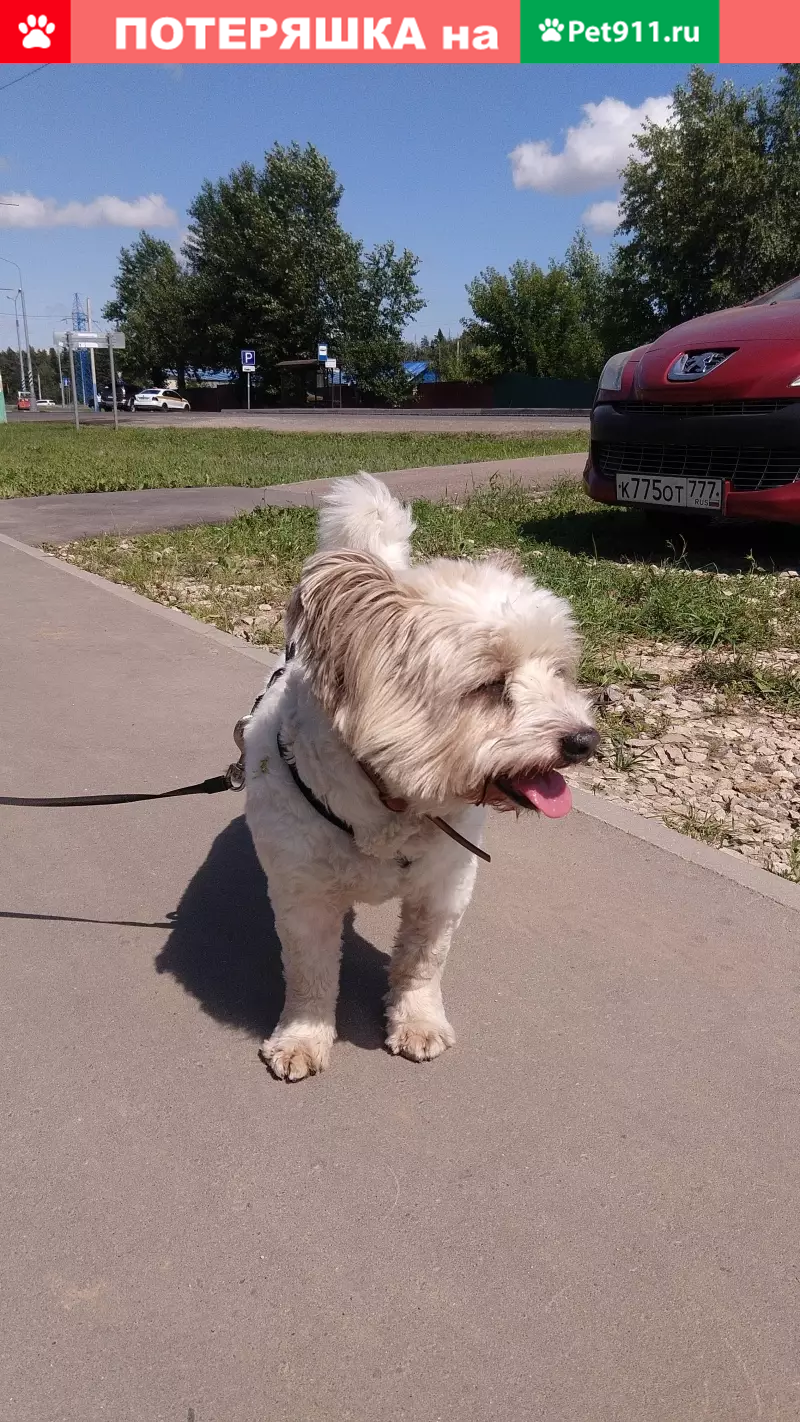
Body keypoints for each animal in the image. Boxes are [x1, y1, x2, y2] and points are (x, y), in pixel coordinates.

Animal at [243, 475, 598, 1081]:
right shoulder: (303, 899)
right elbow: (310, 975)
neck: (392, 803)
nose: (584, 741)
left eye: (559, 672)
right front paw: (303, 1036)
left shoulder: (444, 888)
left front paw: (418, 1020)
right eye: (490, 686)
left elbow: (422, 963)